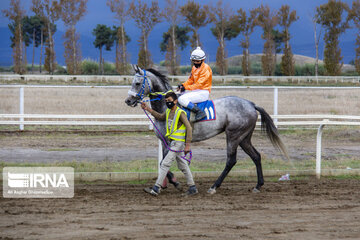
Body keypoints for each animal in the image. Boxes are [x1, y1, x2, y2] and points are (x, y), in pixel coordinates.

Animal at [125, 65, 288, 193]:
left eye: (138, 83)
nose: (128, 100)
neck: (167, 107)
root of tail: (251, 104)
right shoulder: (167, 141)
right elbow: (164, 162)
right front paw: (171, 182)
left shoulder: (171, 140)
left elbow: (165, 162)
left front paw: (176, 183)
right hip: (244, 138)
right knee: (256, 156)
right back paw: (258, 185)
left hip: (233, 136)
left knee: (231, 160)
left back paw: (214, 186)